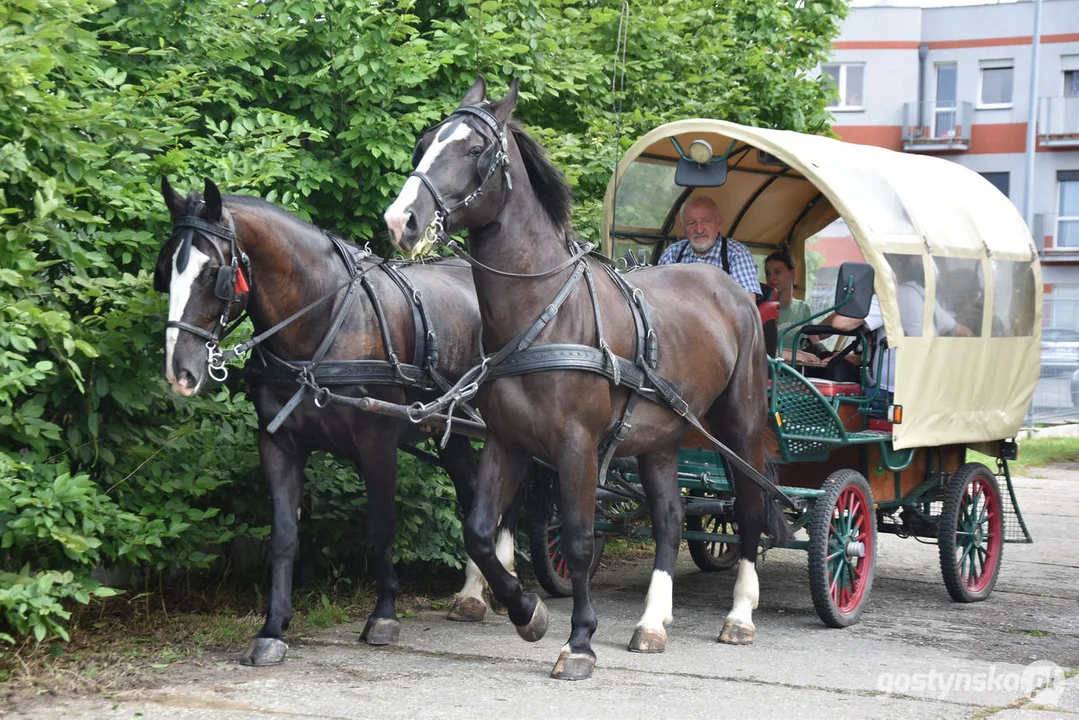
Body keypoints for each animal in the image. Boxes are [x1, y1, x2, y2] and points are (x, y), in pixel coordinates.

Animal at [154, 177, 515, 669]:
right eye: (165, 271)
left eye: (214, 274)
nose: (180, 372)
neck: (320, 322)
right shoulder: (279, 443)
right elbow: (284, 535)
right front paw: (272, 628)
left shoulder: (376, 440)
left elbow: (381, 525)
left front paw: (383, 615)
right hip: (452, 428)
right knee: (474, 488)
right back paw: (475, 593)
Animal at [384, 78, 789, 682]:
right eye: (424, 142)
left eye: (475, 149)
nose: (400, 221)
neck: (543, 312)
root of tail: (728, 286)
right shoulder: (506, 441)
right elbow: (479, 530)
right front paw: (525, 610)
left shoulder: (576, 444)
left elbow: (577, 538)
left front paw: (579, 642)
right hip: (661, 439)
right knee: (670, 520)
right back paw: (652, 623)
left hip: (739, 428)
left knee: (749, 509)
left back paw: (739, 614)